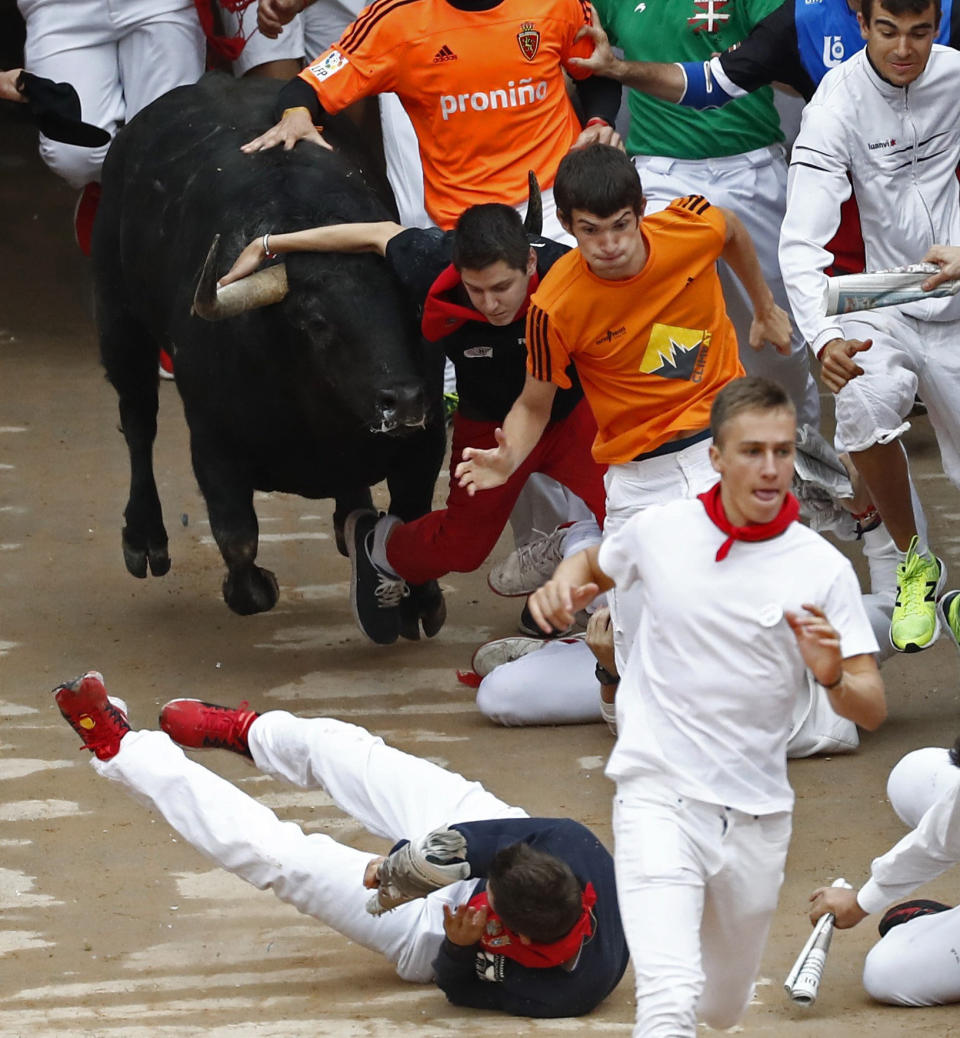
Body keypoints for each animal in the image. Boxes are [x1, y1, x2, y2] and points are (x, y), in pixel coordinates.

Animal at [93, 73, 446, 635]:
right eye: (316, 323)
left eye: (413, 310)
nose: (405, 400)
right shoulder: (212, 443)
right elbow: (238, 537)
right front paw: (256, 587)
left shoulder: (427, 438)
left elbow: (414, 518)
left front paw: (422, 601)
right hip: (117, 315)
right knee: (138, 420)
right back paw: (144, 538)